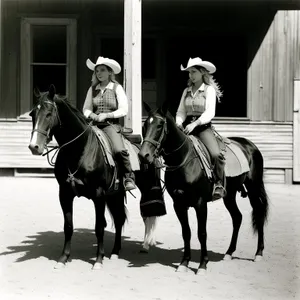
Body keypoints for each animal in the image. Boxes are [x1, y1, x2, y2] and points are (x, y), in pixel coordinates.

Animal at [28, 84, 165, 270]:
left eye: (49, 113)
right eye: (32, 114)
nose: (34, 146)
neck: (81, 149)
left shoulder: (98, 195)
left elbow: (99, 227)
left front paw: (98, 260)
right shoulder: (65, 194)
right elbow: (68, 226)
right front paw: (63, 258)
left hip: (148, 187)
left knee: (149, 214)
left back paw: (146, 244)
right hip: (116, 194)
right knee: (120, 219)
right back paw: (115, 252)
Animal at [139, 102, 270, 274]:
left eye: (160, 125)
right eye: (144, 126)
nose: (143, 155)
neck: (184, 159)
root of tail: (250, 146)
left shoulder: (200, 203)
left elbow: (202, 233)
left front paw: (202, 264)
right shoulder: (178, 204)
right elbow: (186, 232)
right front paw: (184, 263)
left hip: (253, 188)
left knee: (259, 214)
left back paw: (259, 253)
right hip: (229, 195)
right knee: (237, 217)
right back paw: (229, 253)